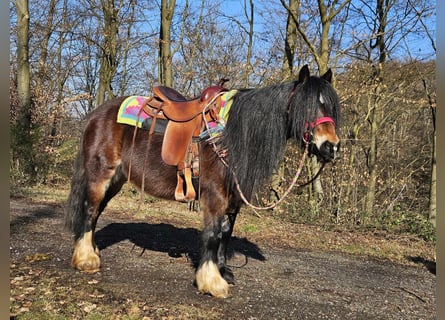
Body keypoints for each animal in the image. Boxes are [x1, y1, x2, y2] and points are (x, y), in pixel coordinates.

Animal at [63, 65, 340, 298]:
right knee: (89, 209)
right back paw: (86, 259)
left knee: (96, 211)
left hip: (117, 180)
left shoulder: (233, 197)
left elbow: (226, 234)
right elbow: (212, 234)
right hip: (101, 174)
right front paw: (212, 282)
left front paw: (223, 271)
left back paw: (90, 250)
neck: (231, 134)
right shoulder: (214, 194)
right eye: (306, 106)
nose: (331, 147)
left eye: (331, 108)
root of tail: (96, 114)